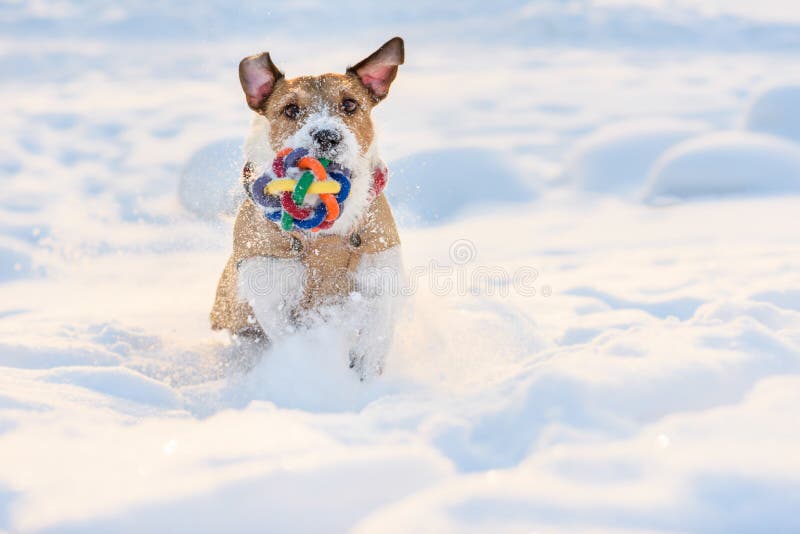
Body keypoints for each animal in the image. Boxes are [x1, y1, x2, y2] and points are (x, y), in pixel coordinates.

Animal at [211, 36, 406, 376]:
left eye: (350, 104)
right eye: (291, 109)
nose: (327, 135)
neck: (325, 233)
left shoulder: (380, 270)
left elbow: (378, 323)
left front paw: (368, 366)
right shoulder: (271, 290)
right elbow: (292, 335)